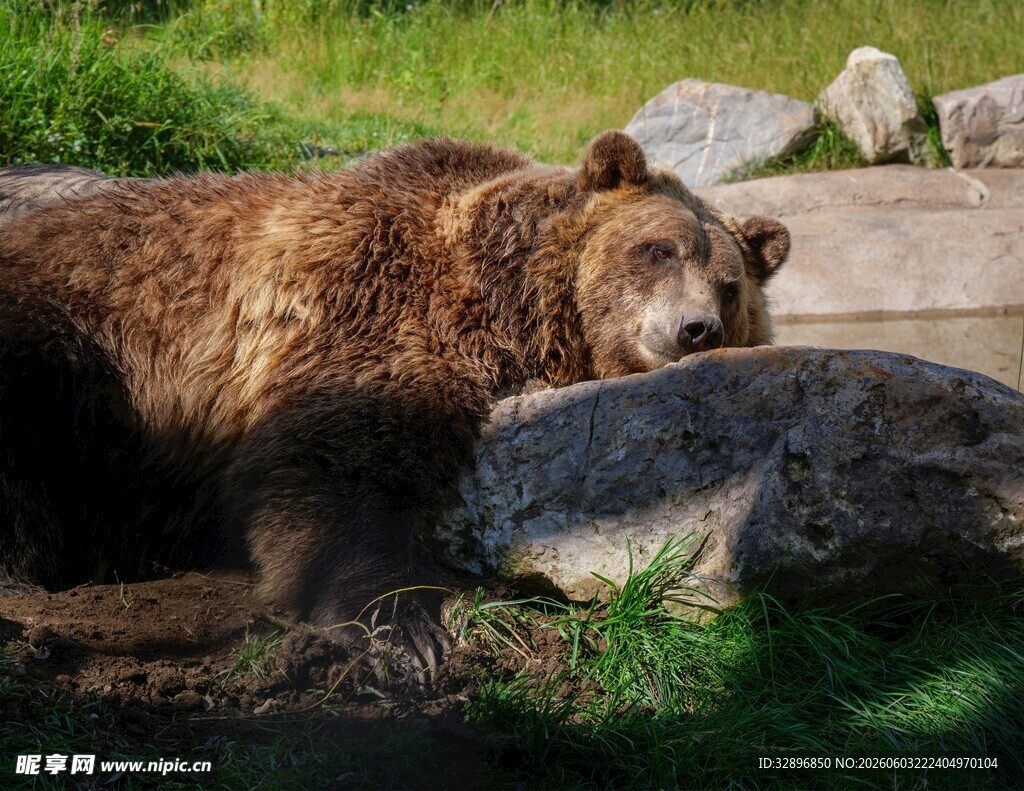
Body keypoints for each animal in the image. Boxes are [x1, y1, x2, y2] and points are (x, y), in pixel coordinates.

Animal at [0, 131, 789, 678]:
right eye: (658, 250)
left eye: (729, 286)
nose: (696, 328)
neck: (506, 301)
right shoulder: (372, 304)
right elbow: (337, 458)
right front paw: (403, 626)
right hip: (74, 339)